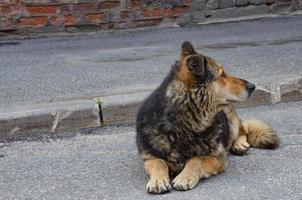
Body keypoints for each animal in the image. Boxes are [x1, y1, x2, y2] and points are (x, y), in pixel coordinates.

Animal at [136, 41, 280, 194]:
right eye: (222, 74)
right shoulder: (148, 157)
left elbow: (196, 160)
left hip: (229, 116)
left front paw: (185, 177)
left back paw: (239, 144)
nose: (252, 86)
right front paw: (158, 180)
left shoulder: (216, 158)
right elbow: (158, 162)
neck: (184, 122)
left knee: (243, 128)